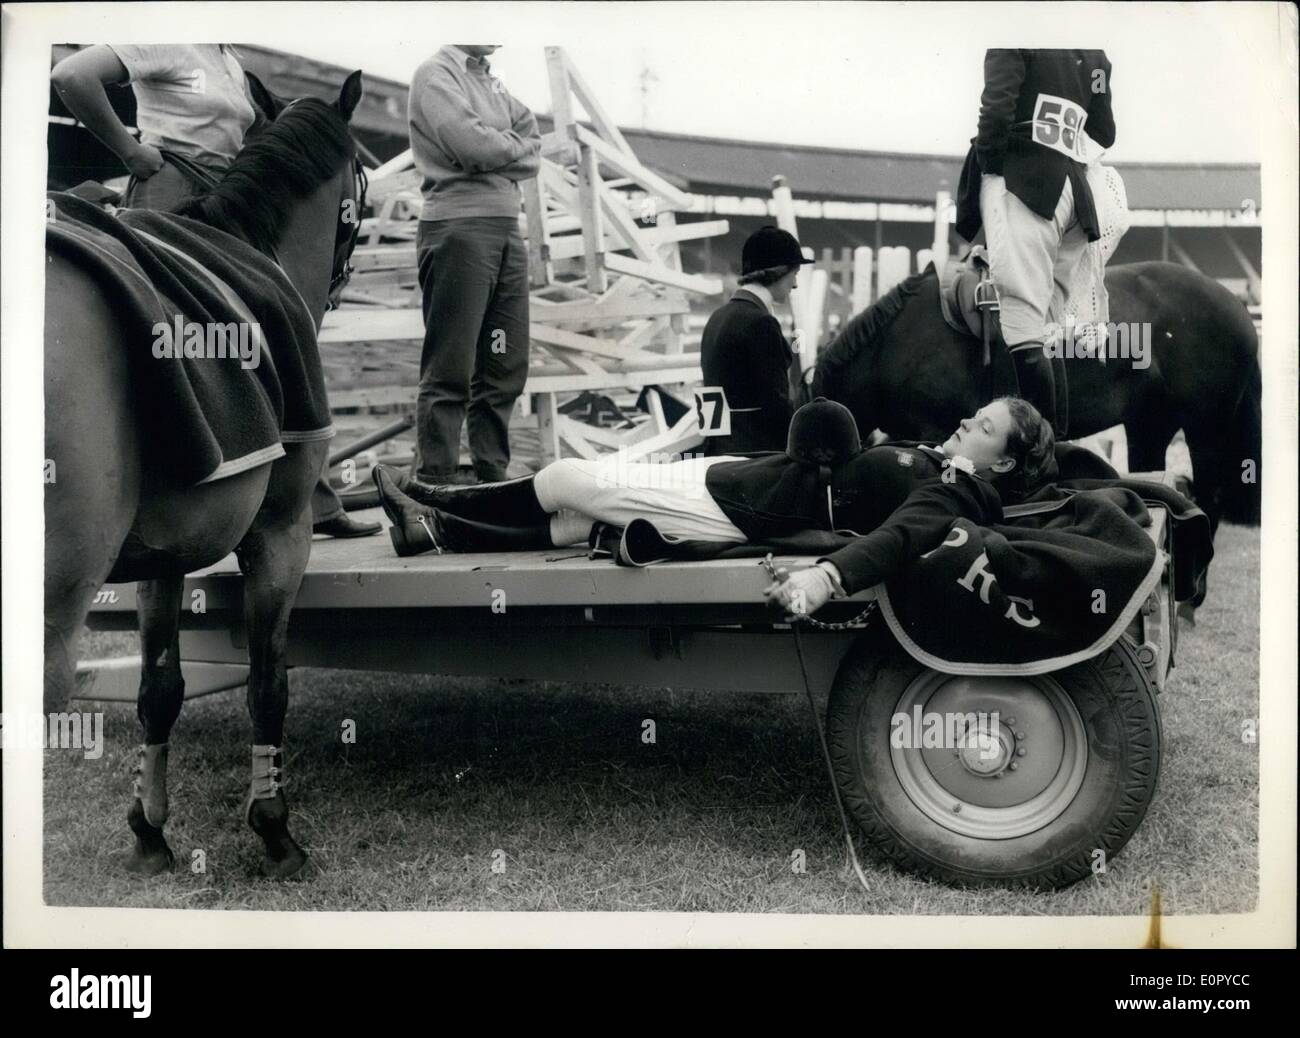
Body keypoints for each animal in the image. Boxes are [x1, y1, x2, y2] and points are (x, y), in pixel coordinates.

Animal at [45, 71, 366, 879]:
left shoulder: (162, 554)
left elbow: (160, 688)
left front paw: (149, 829)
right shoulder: (281, 533)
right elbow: (267, 684)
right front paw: (275, 829)